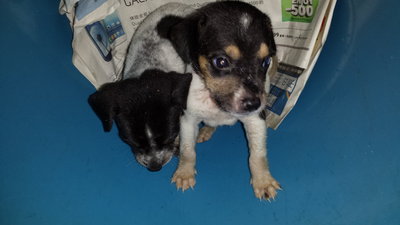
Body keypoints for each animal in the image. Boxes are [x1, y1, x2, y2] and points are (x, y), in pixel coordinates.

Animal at [158, 0, 282, 200]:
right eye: (221, 62)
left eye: (265, 62)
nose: (254, 104)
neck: (217, 104)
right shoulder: (187, 119)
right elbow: (187, 150)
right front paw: (184, 173)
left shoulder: (255, 119)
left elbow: (257, 154)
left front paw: (263, 181)